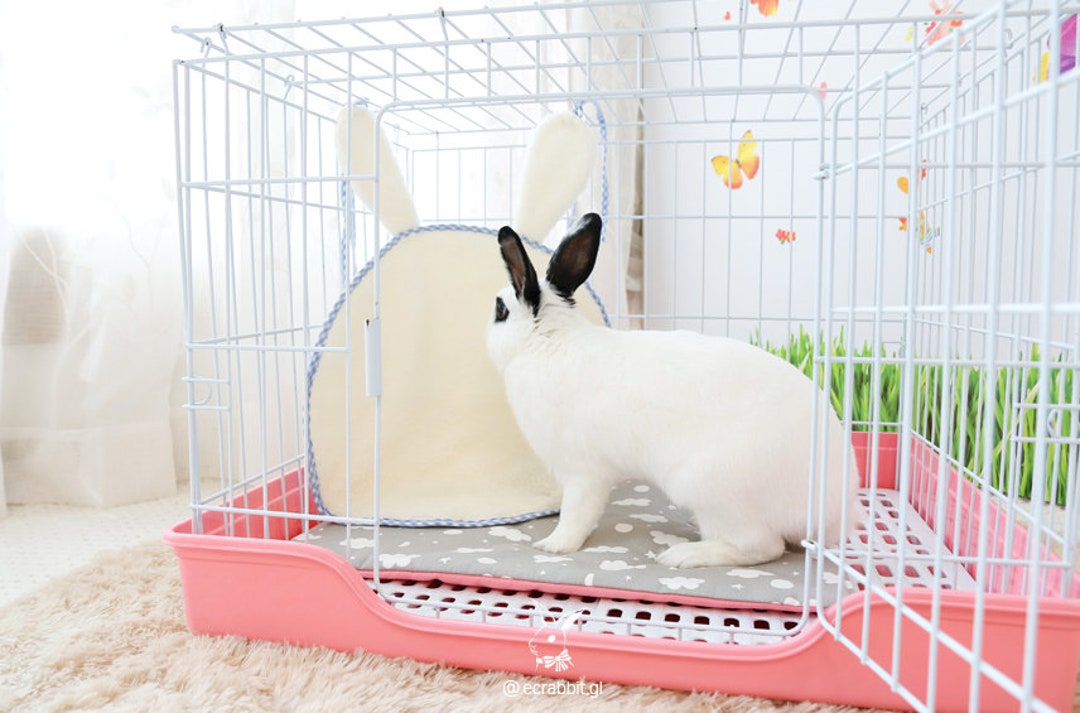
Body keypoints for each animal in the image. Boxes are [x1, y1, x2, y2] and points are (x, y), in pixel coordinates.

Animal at [486, 212, 860, 568]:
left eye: (500, 310)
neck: (547, 341)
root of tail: (832, 511)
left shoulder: (583, 473)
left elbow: (576, 515)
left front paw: (552, 545)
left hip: (708, 486)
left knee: (762, 547)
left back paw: (684, 555)